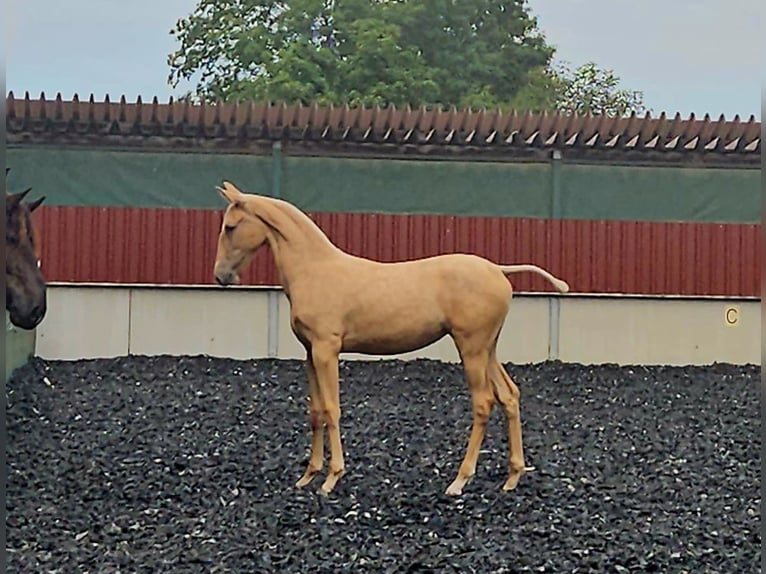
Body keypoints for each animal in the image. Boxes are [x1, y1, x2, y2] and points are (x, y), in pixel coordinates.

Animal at [214, 182, 568, 498]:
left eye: (231, 227)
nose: (220, 276)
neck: (315, 269)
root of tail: (498, 269)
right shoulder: (309, 352)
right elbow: (315, 411)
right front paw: (308, 476)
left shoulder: (327, 350)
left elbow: (331, 409)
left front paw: (332, 477)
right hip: (488, 348)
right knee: (509, 396)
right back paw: (512, 477)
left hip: (471, 348)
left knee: (483, 403)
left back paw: (459, 481)